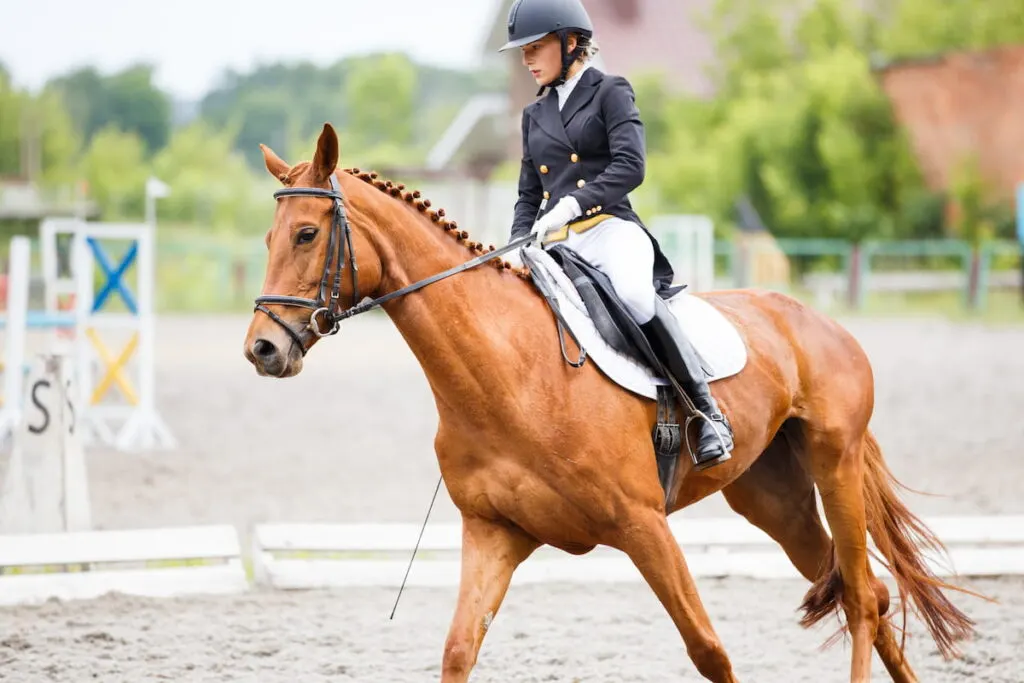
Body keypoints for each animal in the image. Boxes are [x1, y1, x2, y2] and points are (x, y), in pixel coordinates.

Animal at [243, 124, 978, 683]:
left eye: (307, 235)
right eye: (268, 238)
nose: (263, 350)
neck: (507, 373)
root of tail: (816, 321)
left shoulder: (642, 524)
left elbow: (709, 649)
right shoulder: (494, 531)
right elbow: (457, 652)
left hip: (835, 464)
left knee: (862, 597)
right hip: (774, 496)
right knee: (868, 593)